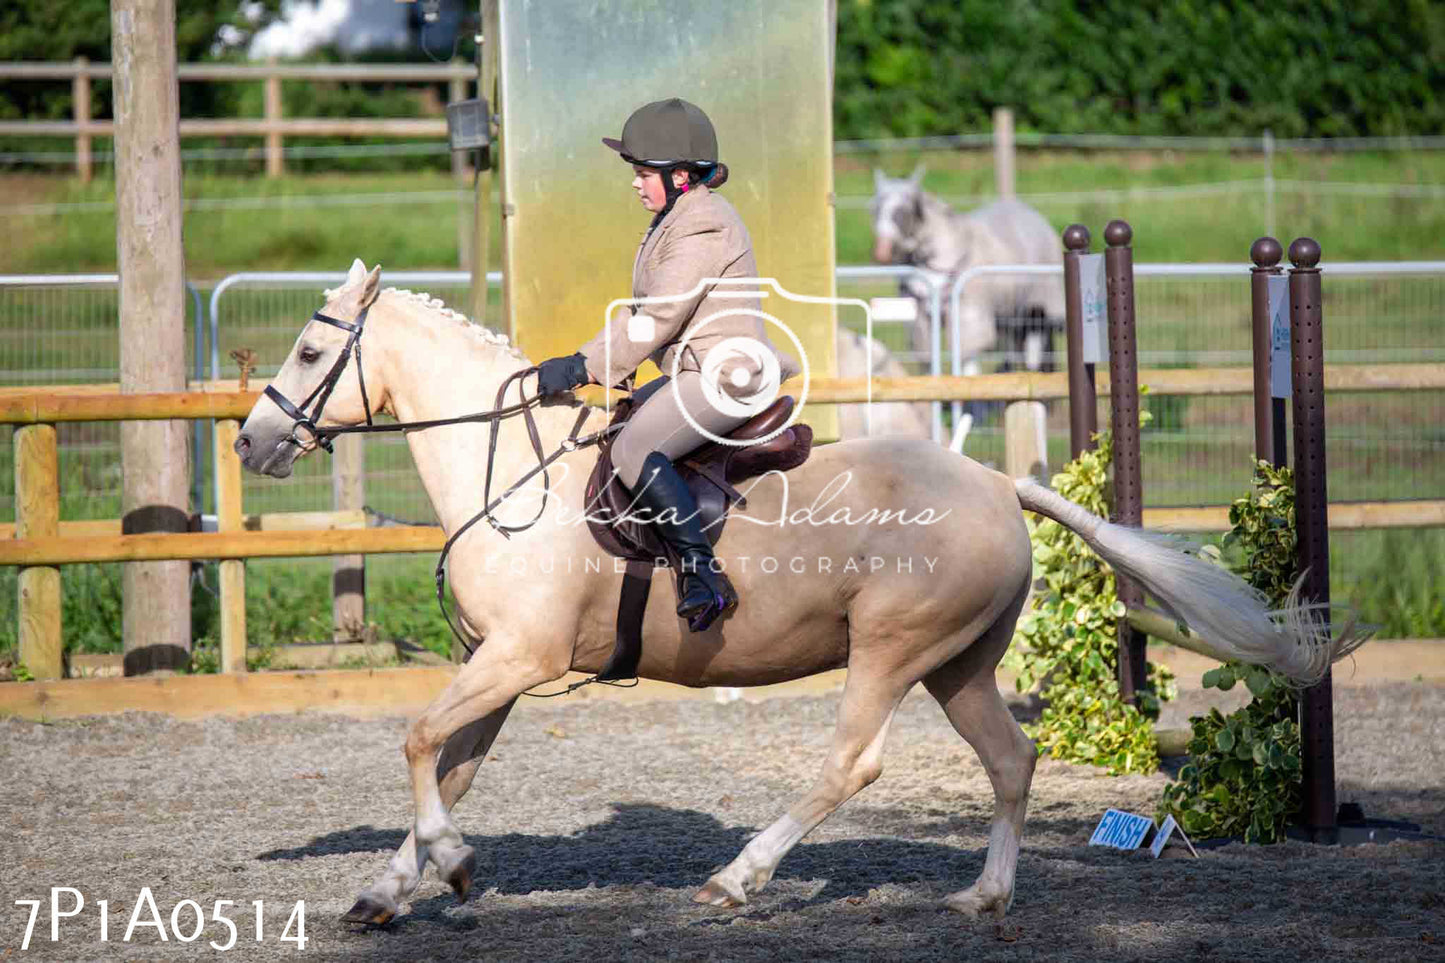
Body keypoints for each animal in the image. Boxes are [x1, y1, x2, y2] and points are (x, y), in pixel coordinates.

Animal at [234, 258, 1352, 919]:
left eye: (309, 347)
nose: (251, 442)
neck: (511, 472)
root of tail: (997, 482)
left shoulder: (520, 659)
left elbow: (418, 742)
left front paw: (453, 866)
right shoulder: (495, 667)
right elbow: (449, 765)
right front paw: (392, 888)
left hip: (891, 651)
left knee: (850, 765)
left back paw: (738, 877)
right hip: (957, 665)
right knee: (1011, 760)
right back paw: (981, 897)